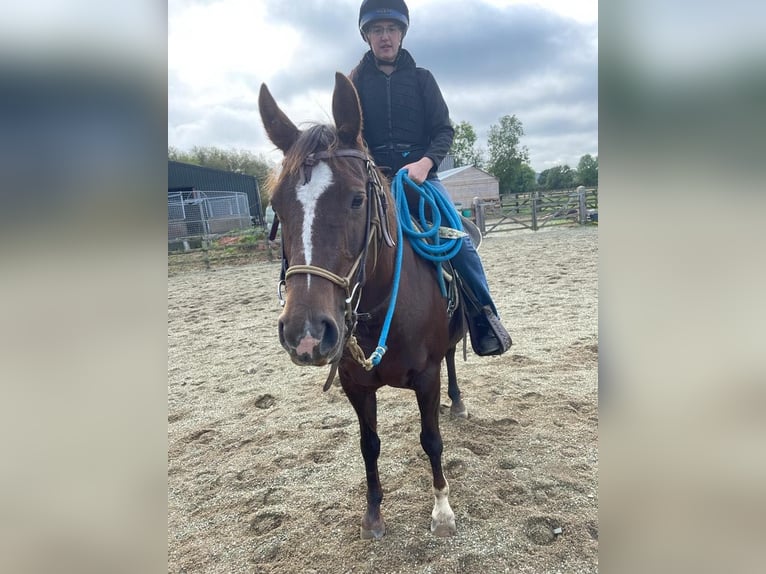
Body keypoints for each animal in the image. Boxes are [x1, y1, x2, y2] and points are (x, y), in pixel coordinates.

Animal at [260, 72, 468, 540]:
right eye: (277, 205)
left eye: (357, 199)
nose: (306, 333)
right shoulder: (355, 384)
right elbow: (368, 445)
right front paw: (373, 514)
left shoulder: (426, 377)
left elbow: (431, 440)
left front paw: (443, 511)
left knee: (452, 358)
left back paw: (458, 401)